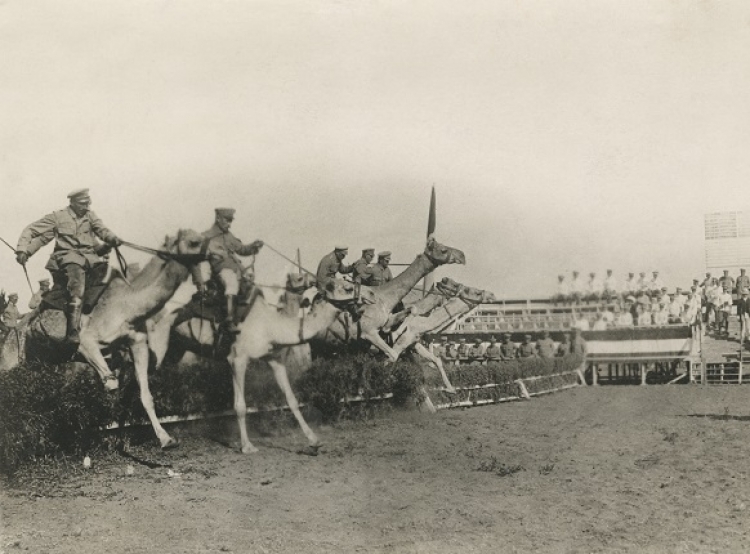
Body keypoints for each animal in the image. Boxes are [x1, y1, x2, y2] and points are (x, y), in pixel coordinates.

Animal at [314, 237, 468, 358]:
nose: (462, 256)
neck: (384, 298)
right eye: (443, 250)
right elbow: (392, 354)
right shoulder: (368, 333)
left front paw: (392, 331)